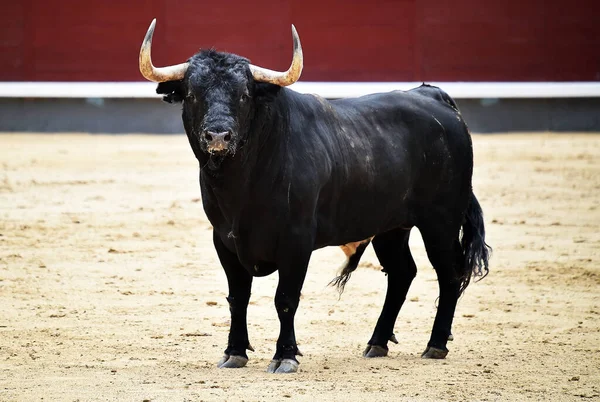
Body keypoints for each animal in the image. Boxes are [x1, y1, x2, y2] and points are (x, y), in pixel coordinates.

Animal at [152, 51, 490, 374]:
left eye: (244, 95)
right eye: (192, 94)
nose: (218, 137)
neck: (243, 182)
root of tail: (432, 96)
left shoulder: (296, 241)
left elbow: (285, 299)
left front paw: (285, 357)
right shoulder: (224, 241)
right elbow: (238, 297)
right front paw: (234, 352)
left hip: (441, 222)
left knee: (449, 274)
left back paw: (435, 345)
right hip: (391, 227)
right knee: (402, 273)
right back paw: (377, 343)